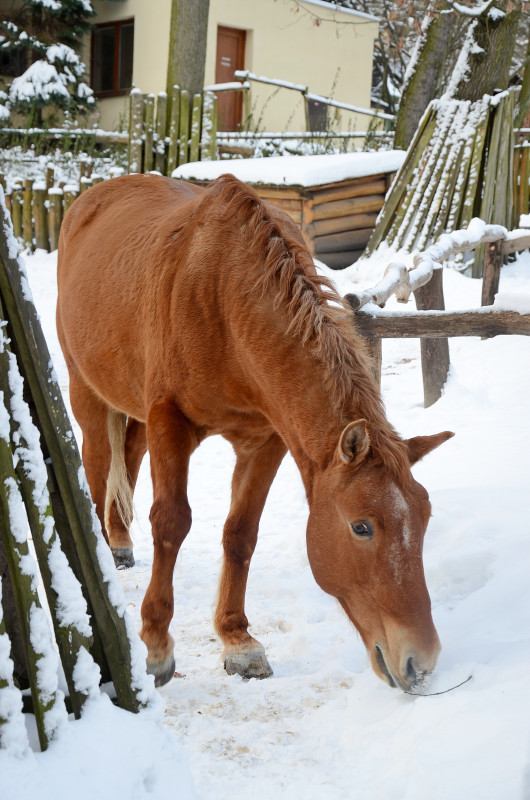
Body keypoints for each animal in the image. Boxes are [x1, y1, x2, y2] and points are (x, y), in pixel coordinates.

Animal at [55, 173, 450, 688]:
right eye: (361, 527)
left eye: (424, 519)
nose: (421, 663)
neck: (226, 301)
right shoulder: (169, 420)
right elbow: (171, 522)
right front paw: (157, 645)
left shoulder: (267, 439)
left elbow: (241, 534)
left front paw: (237, 640)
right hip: (86, 392)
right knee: (99, 466)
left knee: (129, 454)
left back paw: (120, 539)